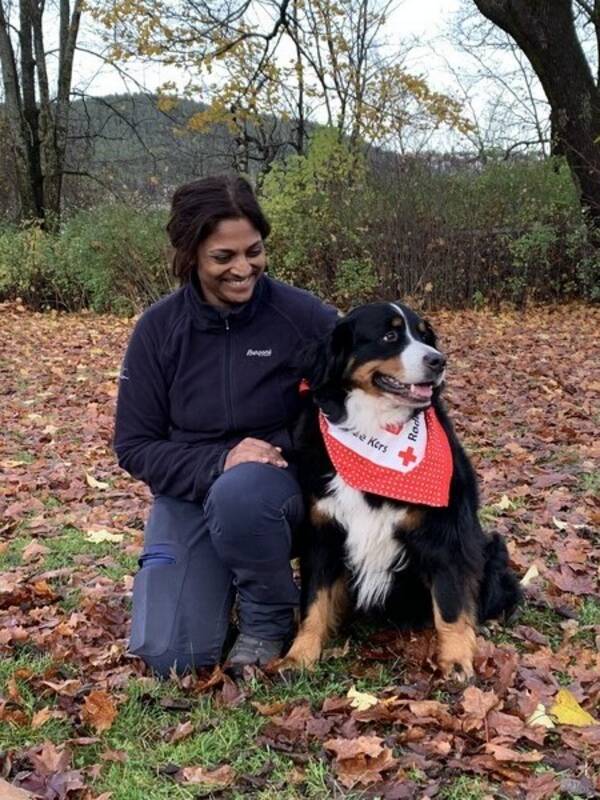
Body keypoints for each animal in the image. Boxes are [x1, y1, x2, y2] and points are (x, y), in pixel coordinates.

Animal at [282, 300, 520, 680]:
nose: (439, 360)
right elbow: (314, 602)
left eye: (425, 336)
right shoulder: (323, 531)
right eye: (390, 336)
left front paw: (456, 659)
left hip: (491, 547)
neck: (377, 432)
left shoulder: (446, 533)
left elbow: (451, 603)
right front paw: (300, 655)